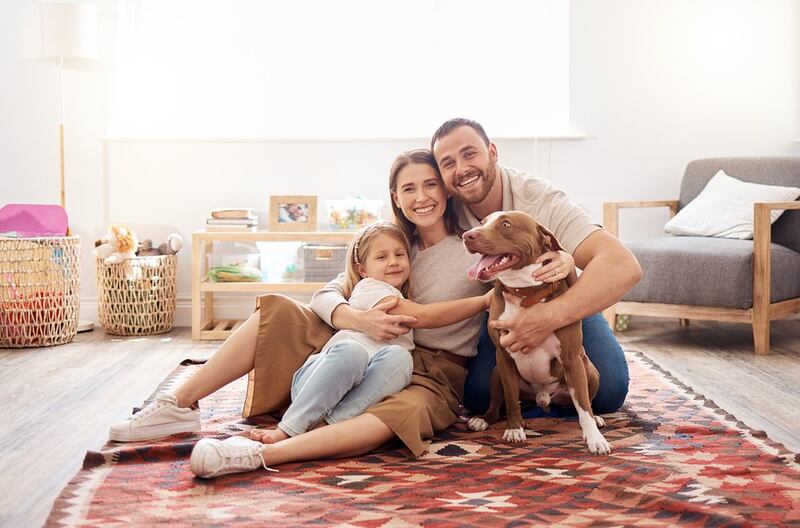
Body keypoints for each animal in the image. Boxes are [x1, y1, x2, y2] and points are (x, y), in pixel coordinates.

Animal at [462, 210, 612, 454]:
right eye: (482, 223)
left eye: (506, 224)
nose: (467, 235)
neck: (525, 294)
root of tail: (542, 400)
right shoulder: (503, 357)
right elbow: (511, 400)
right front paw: (514, 429)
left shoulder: (571, 358)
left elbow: (583, 406)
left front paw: (594, 439)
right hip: (496, 373)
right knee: (497, 405)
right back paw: (482, 419)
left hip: (589, 370)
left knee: (583, 404)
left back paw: (597, 418)